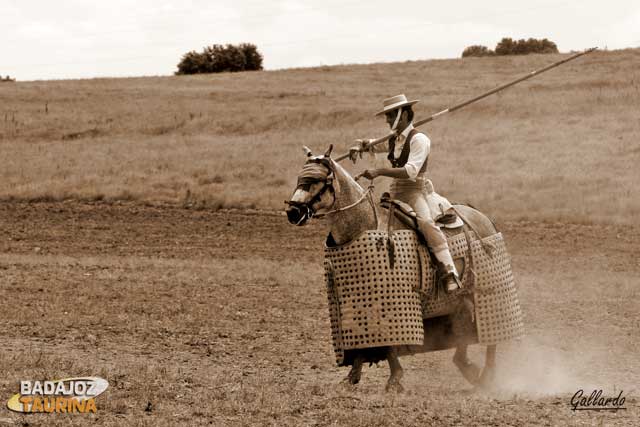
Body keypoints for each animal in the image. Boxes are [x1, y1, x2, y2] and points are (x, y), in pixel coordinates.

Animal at [288, 145, 508, 392]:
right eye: (300, 177)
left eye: (317, 179)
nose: (293, 212)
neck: (364, 225)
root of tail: (482, 217)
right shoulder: (356, 300)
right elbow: (363, 337)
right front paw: (352, 377)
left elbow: (389, 342)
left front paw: (394, 379)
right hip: (460, 301)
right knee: (462, 331)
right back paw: (469, 368)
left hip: (488, 297)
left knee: (490, 336)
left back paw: (486, 375)